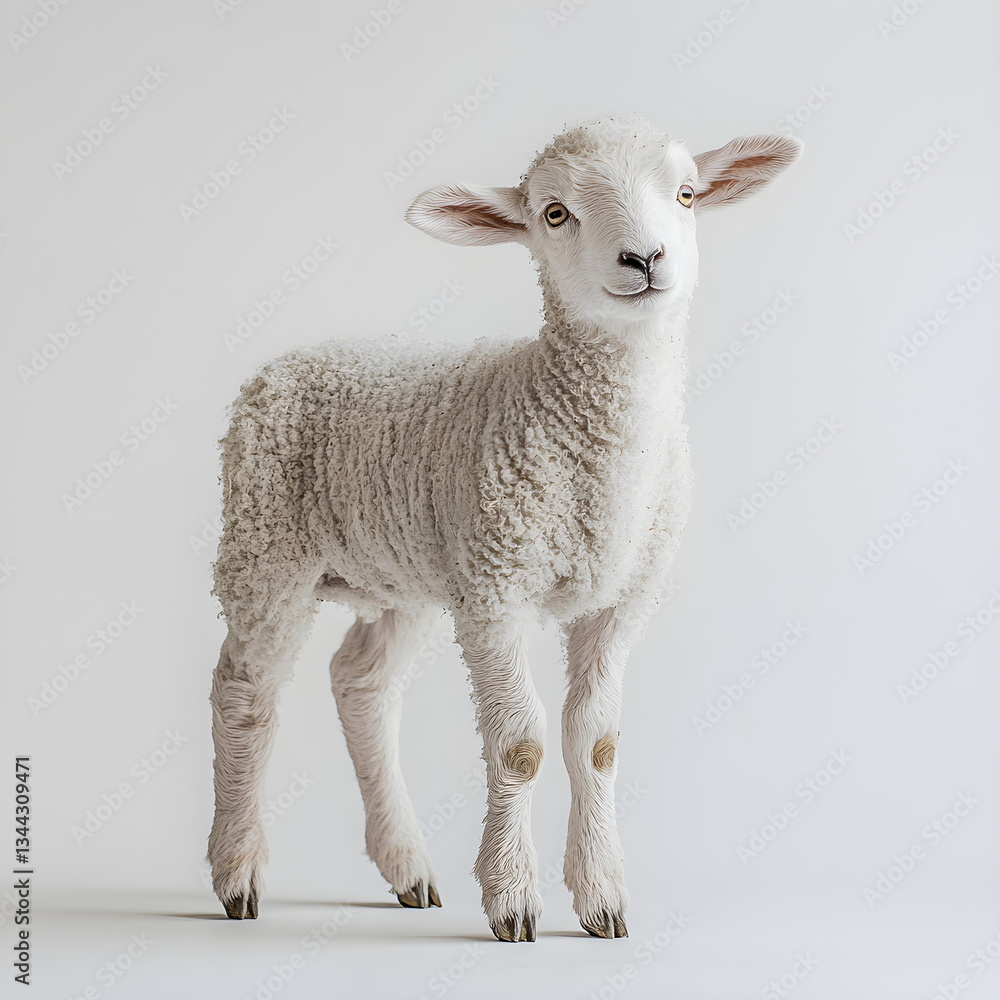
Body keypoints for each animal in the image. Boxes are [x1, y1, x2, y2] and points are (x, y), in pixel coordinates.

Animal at [207, 115, 802, 941]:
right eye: (554, 213)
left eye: (686, 193)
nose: (645, 259)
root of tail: (291, 359)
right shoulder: (497, 592)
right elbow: (520, 747)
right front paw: (514, 898)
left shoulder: (620, 600)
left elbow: (597, 744)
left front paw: (602, 896)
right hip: (264, 547)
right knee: (244, 694)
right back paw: (237, 872)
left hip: (404, 573)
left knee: (360, 683)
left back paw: (405, 865)